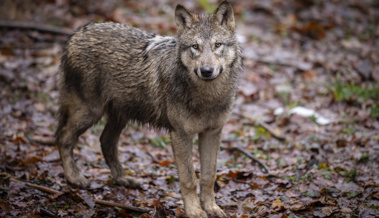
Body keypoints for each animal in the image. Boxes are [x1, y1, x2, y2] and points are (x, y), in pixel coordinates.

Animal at [55, 0, 242, 217]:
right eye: (195, 47)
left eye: (217, 45)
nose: (206, 71)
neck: (208, 97)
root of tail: (76, 33)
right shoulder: (180, 134)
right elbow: (189, 179)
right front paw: (194, 211)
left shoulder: (212, 133)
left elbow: (209, 176)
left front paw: (212, 208)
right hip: (89, 113)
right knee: (64, 137)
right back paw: (74, 178)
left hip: (120, 116)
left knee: (106, 141)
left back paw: (123, 179)